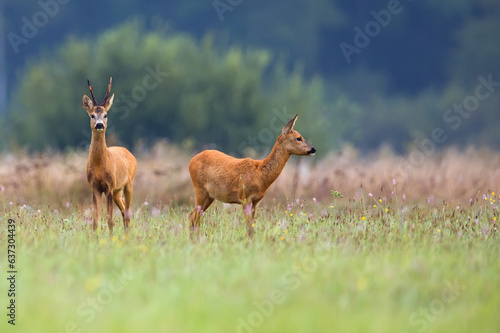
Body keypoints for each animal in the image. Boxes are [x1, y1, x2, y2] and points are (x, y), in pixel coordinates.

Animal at [82, 77, 138, 233]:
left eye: (105, 115)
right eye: (92, 115)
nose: (99, 125)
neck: (100, 166)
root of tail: (129, 152)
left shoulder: (109, 186)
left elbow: (110, 220)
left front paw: (110, 237)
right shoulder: (94, 186)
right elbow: (95, 220)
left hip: (129, 184)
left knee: (127, 212)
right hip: (118, 191)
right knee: (124, 211)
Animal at [188, 114, 316, 236]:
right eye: (298, 138)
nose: (313, 149)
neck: (259, 175)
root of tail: (191, 160)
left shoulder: (256, 201)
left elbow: (252, 226)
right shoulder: (244, 197)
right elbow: (249, 228)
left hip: (210, 196)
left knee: (193, 215)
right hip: (199, 189)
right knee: (194, 216)